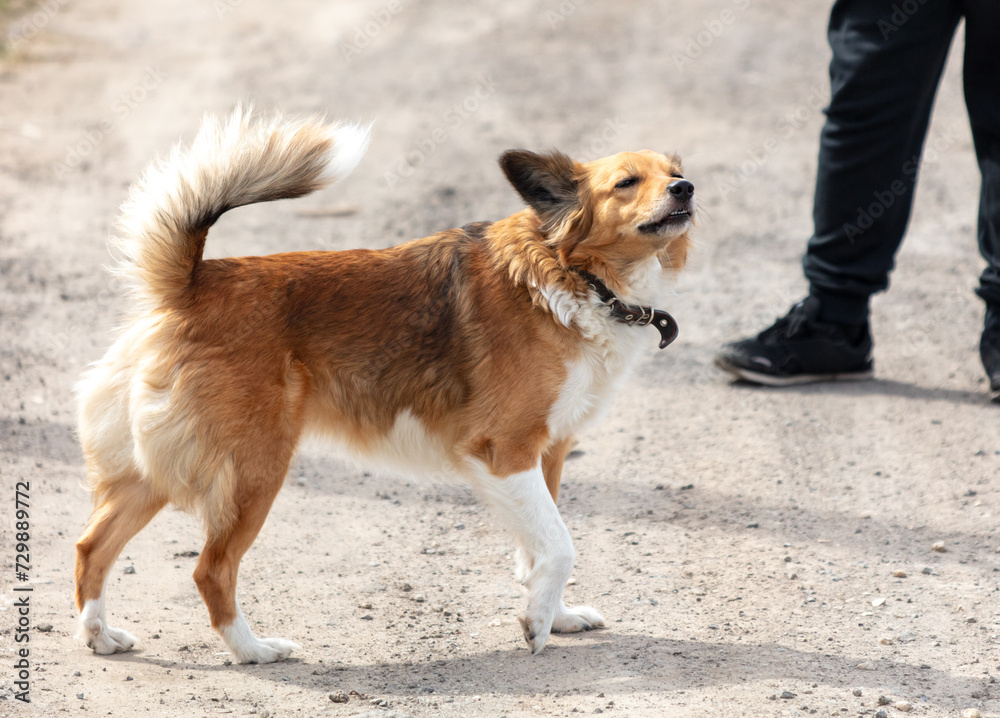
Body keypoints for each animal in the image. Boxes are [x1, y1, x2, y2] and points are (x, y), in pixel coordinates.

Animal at [74, 107, 696, 664]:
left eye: (674, 171)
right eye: (626, 182)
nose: (686, 188)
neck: (573, 272)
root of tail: (192, 283)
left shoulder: (546, 452)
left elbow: (538, 546)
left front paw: (556, 615)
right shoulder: (505, 451)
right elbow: (561, 545)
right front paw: (538, 625)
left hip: (154, 470)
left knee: (92, 547)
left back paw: (100, 636)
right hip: (254, 470)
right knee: (210, 570)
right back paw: (253, 650)